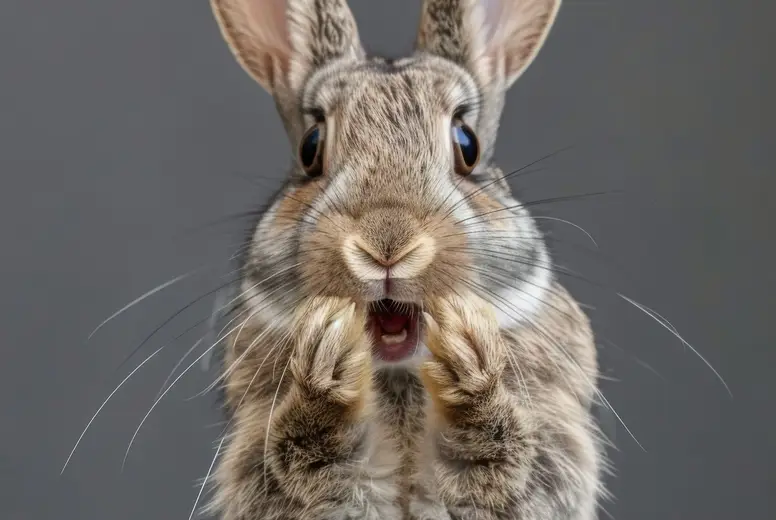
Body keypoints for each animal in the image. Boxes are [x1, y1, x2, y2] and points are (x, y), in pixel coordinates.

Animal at [206, 0, 605, 518]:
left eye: (467, 144)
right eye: (311, 147)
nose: (387, 243)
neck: (398, 372)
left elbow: (496, 458)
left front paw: (468, 360)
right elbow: (314, 457)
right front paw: (325, 361)